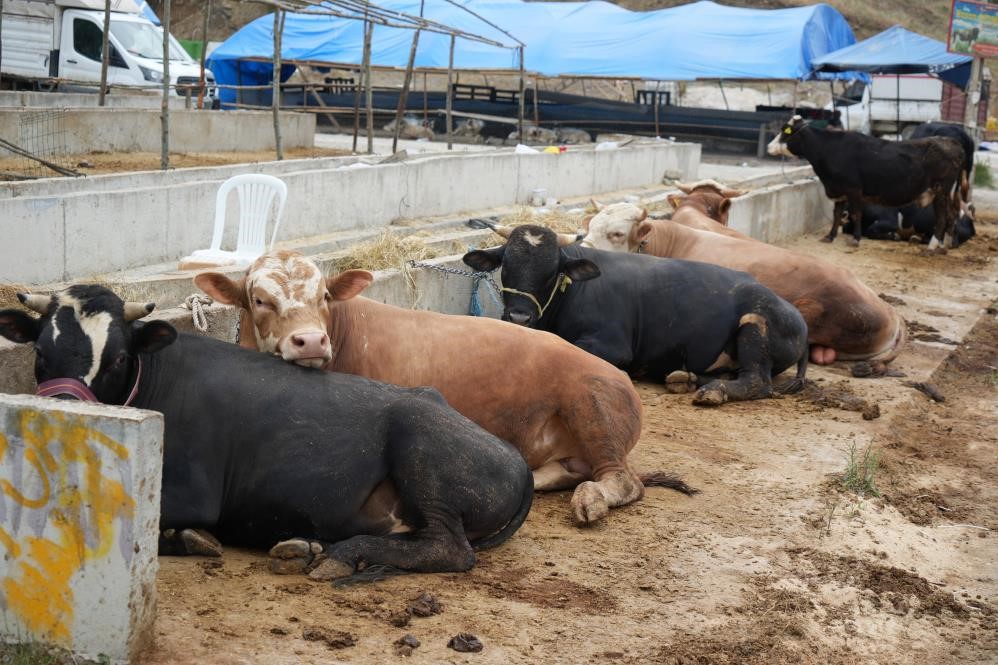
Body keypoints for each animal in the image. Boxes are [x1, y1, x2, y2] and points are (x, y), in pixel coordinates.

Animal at [0, 286, 536, 580]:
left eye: (115, 359)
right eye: (41, 353)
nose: (63, 407)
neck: (156, 374)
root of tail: (518, 462)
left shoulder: (194, 495)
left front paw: (189, 538)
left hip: (420, 443)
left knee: (450, 547)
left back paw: (340, 554)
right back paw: (305, 547)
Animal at [193, 249, 696, 524]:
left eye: (324, 297)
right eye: (260, 299)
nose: (311, 340)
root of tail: (618, 377)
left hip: (592, 407)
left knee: (623, 480)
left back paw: (591, 499)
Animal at [462, 226, 812, 408]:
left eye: (552, 271)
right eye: (506, 265)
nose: (519, 317)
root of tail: (798, 318)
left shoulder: (613, 345)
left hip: (755, 323)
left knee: (757, 381)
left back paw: (713, 390)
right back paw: (685, 378)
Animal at [764, 114, 968, 249]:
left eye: (785, 132)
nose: (768, 147)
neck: (829, 148)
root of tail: (952, 142)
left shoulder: (854, 190)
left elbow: (855, 214)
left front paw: (855, 239)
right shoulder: (839, 191)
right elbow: (837, 214)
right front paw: (829, 236)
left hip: (941, 191)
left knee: (943, 217)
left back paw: (933, 246)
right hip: (946, 193)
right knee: (952, 216)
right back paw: (944, 245)